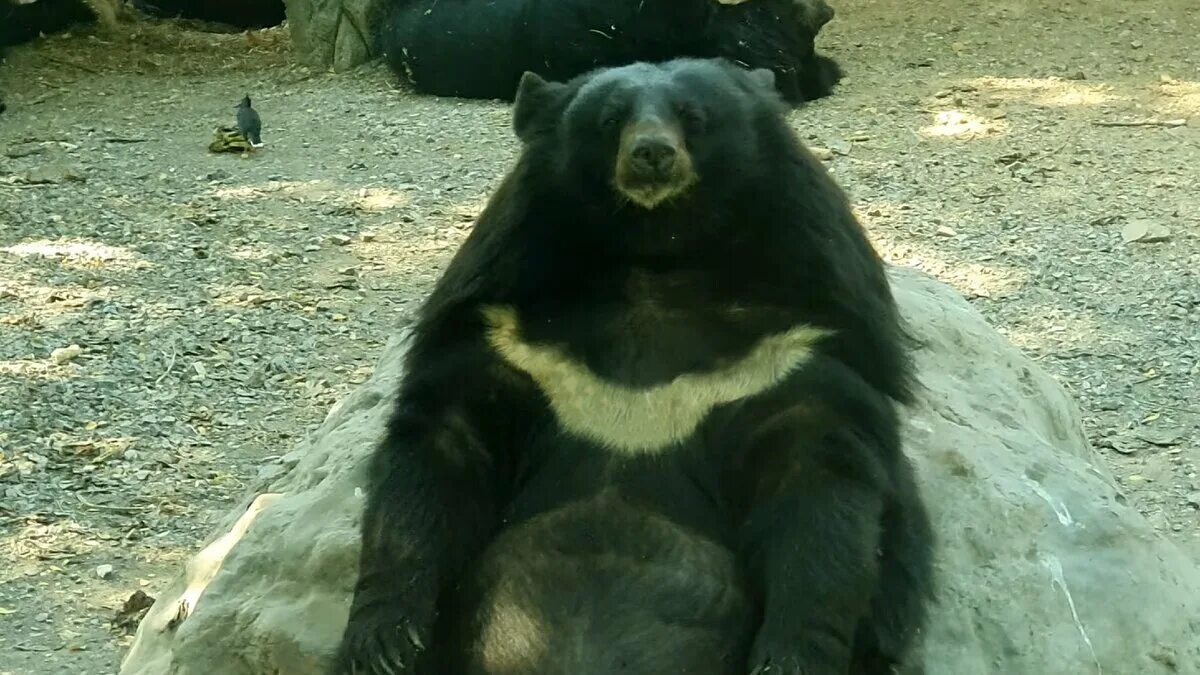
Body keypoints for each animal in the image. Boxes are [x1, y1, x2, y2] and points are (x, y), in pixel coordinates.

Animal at [331, 57, 936, 672]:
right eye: (610, 119)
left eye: (693, 116)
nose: (652, 154)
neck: (654, 258)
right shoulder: (505, 332)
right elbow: (436, 457)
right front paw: (385, 646)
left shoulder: (793, 347)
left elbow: (819, 488)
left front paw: (790, 657)